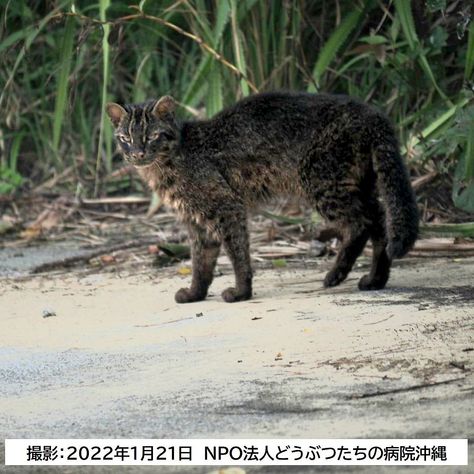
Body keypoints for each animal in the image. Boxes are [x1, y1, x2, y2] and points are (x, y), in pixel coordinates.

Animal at [106, 92, 418, 304]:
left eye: (151, 136)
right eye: (125, 138)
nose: (137, 153)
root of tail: (370, 112)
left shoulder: (225, 206)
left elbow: (237, 253)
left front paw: (241, 292)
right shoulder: (196, 221)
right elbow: (200, 263)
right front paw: (195, 293)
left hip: (322, 182)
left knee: (361, 223)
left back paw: (336, 274)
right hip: (358, 183)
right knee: (380, 220)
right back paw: (375, 279)